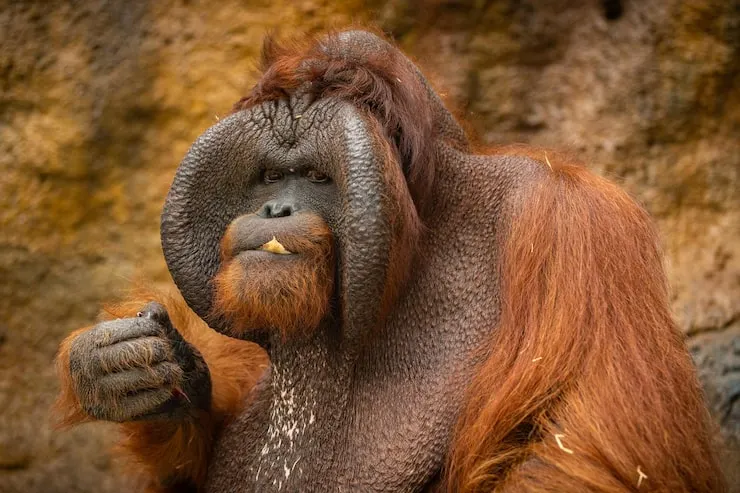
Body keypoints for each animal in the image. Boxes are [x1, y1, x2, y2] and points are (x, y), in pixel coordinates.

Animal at [54, 30, 725, 492]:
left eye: (317, 176)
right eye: (270, 176)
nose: (274, 209)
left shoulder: (574, 226)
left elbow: (583, 451)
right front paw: (126, 363)